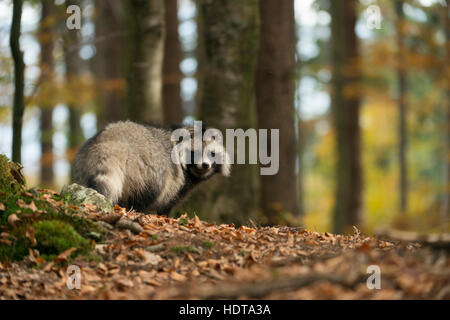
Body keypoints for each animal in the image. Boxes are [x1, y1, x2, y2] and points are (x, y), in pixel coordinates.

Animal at [73, 121, 232, 214]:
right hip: (146, 168)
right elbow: (167, 204)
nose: (205, 165)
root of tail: (111, 140)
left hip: (84, 162)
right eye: (195, 152)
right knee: (149, 192)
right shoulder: (176, 182)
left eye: (212, 153)